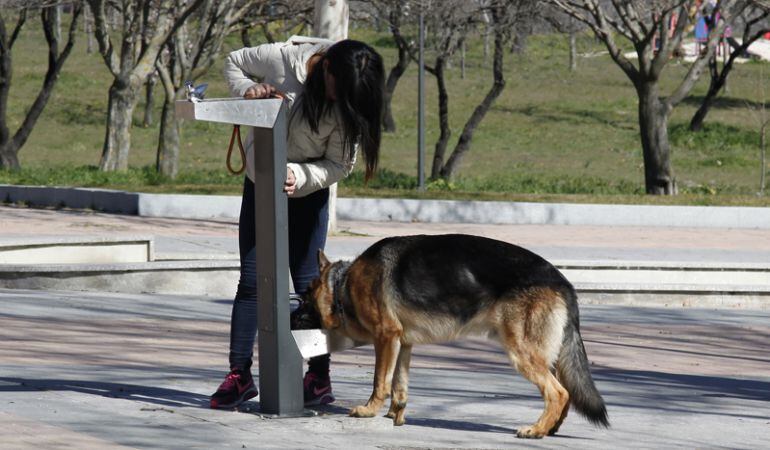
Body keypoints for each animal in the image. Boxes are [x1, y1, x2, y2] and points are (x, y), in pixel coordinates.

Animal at [306, 234, 608, 438]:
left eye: (307, 293)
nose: (296, 311)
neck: (343, 283)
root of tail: (563, 282)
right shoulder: (403, 344)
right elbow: (399, 384)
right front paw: (395, 414)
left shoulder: (386, 337)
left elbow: (380, 381)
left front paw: (369, 410)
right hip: (542, 355)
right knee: (566, 392)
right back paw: (550, 427)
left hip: (521, 353)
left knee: (558, 392)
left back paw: (535, 430)